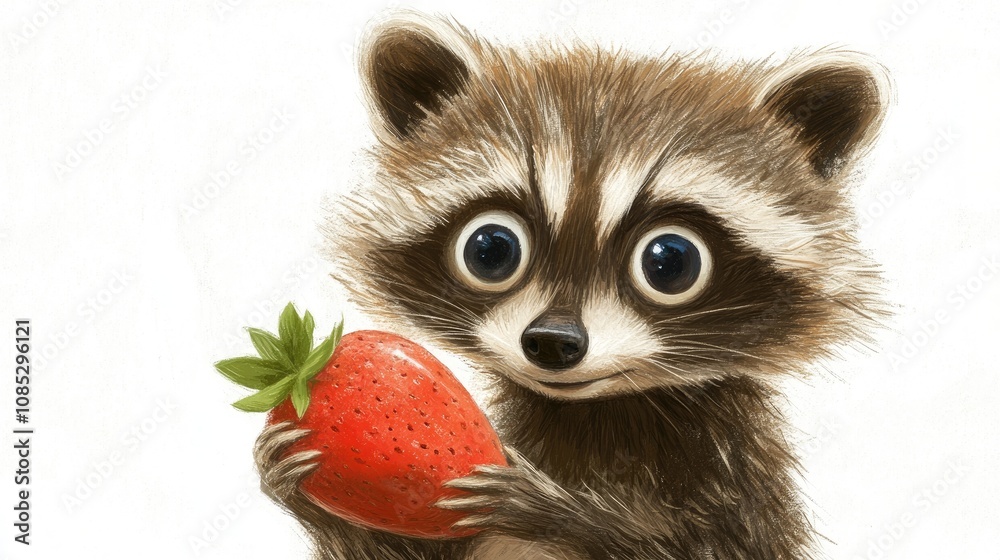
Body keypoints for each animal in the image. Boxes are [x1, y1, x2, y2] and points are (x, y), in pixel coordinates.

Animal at [255, 10, 889, 560]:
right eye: (491, 250)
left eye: (671, 262)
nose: (553, 341)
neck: (595, 414)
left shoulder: (740, 491)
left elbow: (700, 545)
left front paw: (571, 512)